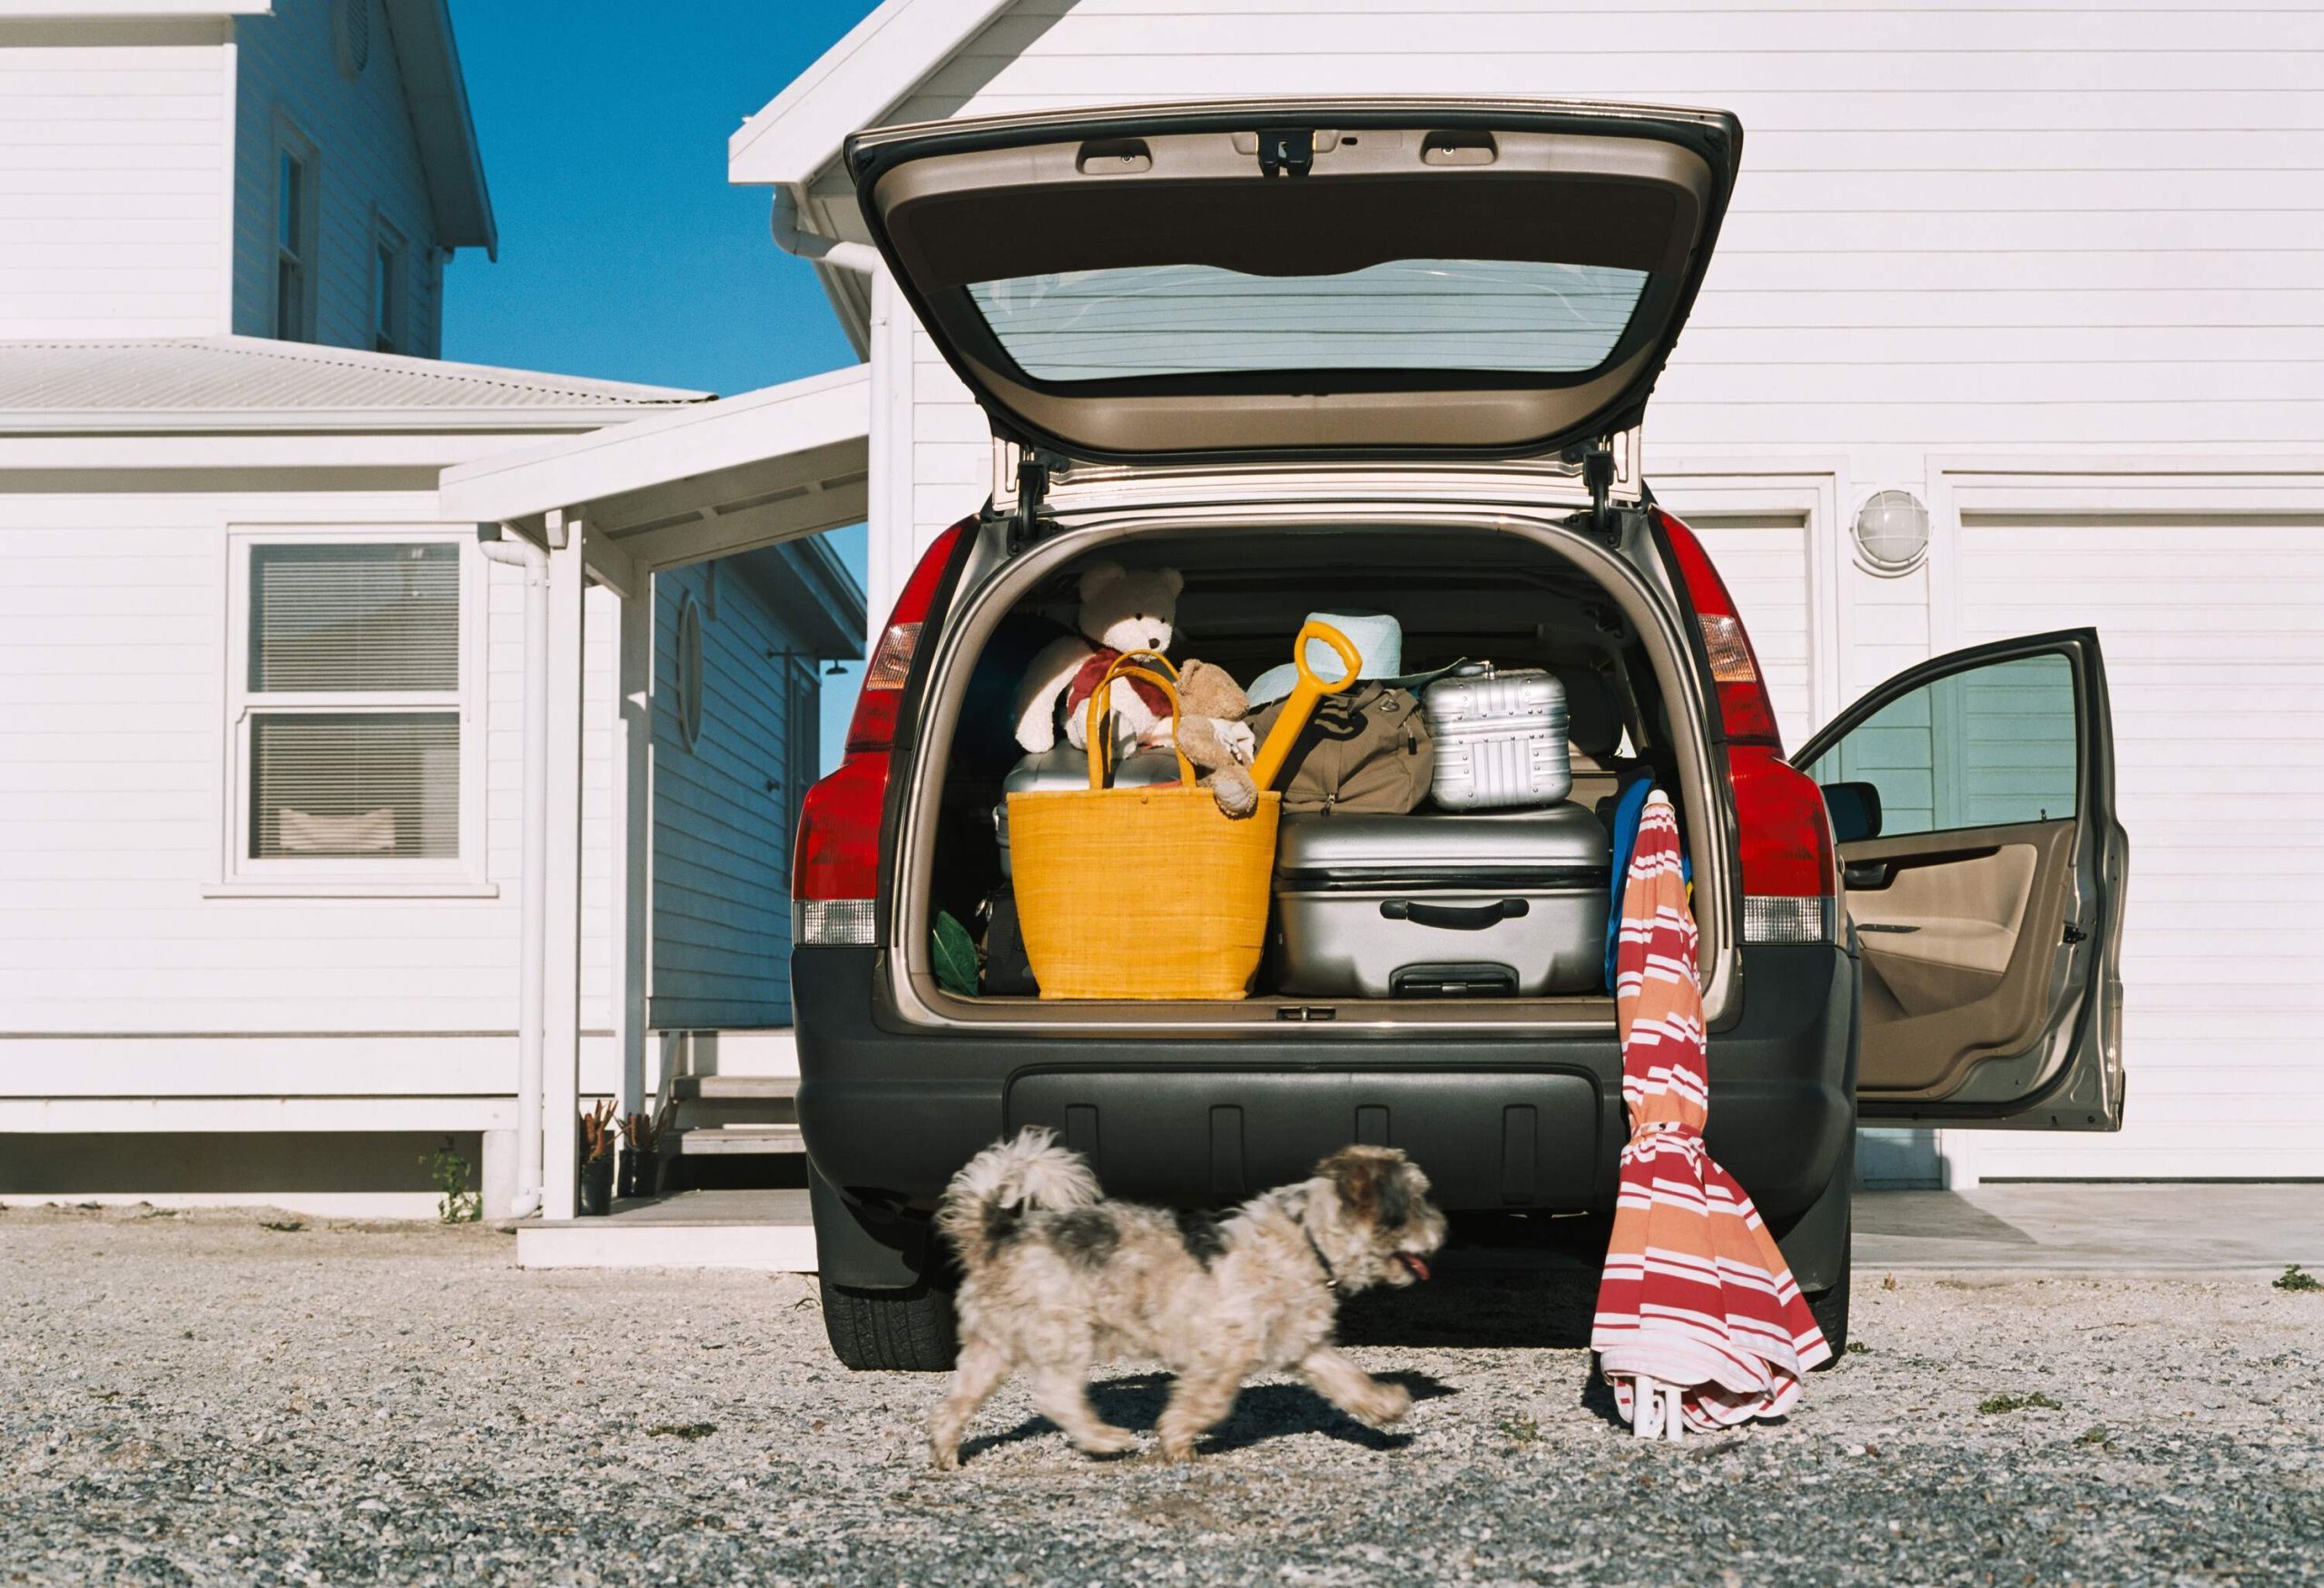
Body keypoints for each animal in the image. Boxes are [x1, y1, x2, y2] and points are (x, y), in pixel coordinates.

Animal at [920, 1125, 1431, 1469]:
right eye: (1416, 1206)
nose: (1442, 1228)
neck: (1306, 1237)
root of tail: (995, 1234)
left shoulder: (1304, 1346)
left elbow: (1348, 1379)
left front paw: (1385, 1405)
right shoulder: (1222, 1355)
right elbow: (1208, 1403)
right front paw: (1177, 1441)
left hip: (990, 1346)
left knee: (955, 1402)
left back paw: (946, 1452)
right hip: (1062, 1333)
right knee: (1057, 1395)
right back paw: (1105, 1438)